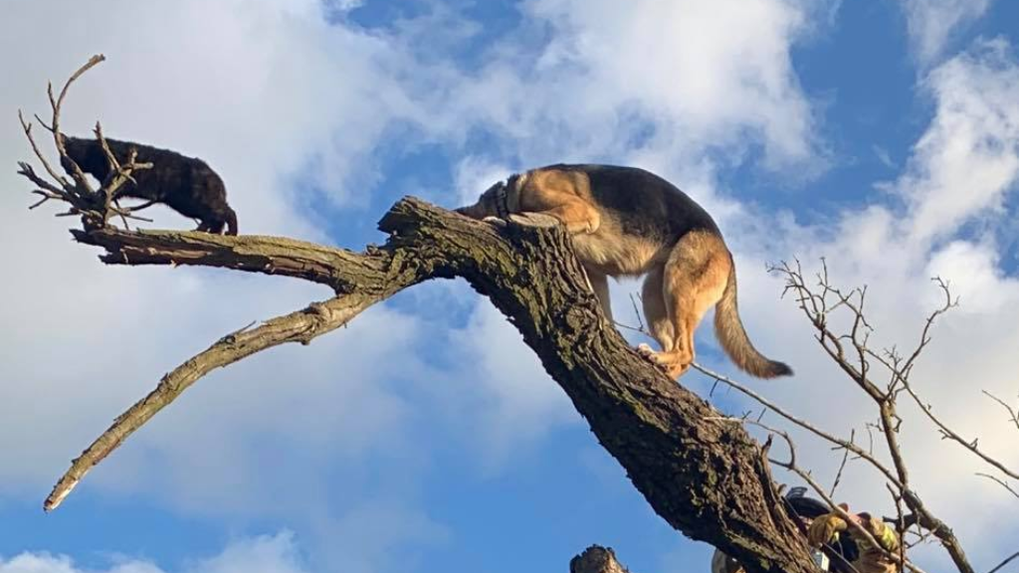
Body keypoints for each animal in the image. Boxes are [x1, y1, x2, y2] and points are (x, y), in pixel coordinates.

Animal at [61, 134, 238, 233]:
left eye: (66, 155)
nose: (65, 165)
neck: (92, 152)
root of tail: (215, 175)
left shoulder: (120, 176)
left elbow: (105, 191)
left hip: (195, 200)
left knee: (227, 212)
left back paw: (230, 233)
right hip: (184, 204)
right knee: (215, 217)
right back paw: (209, 232)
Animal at [458, 164, 790, 379]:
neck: (509, 194)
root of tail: (727, 252)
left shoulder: (580, 212)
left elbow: (535, 215)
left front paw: (508, 221)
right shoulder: (594, 274)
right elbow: (602, 309)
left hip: (678, 286)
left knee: (687, 351)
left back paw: (660, 359)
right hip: (655, 296)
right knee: (680, 352)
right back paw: (660, 365)